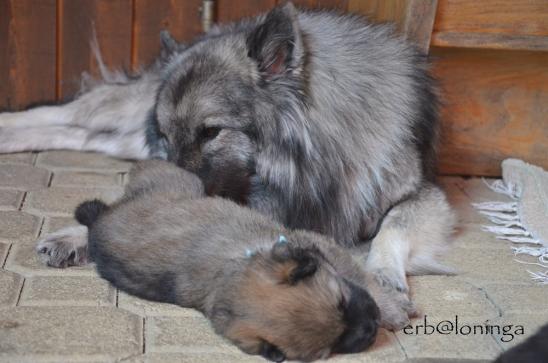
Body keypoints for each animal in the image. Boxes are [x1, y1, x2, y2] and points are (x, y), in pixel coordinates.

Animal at [0, 2, 456, 328]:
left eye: (211, 132)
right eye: (167, 135)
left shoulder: (422, 192)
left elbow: (394, 227)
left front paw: (383, 274)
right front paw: (76, 234)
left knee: (83, 135)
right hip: (125, 110)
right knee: (68, 113)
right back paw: (9, 126)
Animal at [71, 161, 406, 362]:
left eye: (341, 300)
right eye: (328, 349)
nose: (372, 325)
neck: (235, 266)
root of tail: (99, 219)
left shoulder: (323, 248)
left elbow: (361, 276)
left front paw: (392, 306)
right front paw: (395, 311)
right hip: (179, 181)